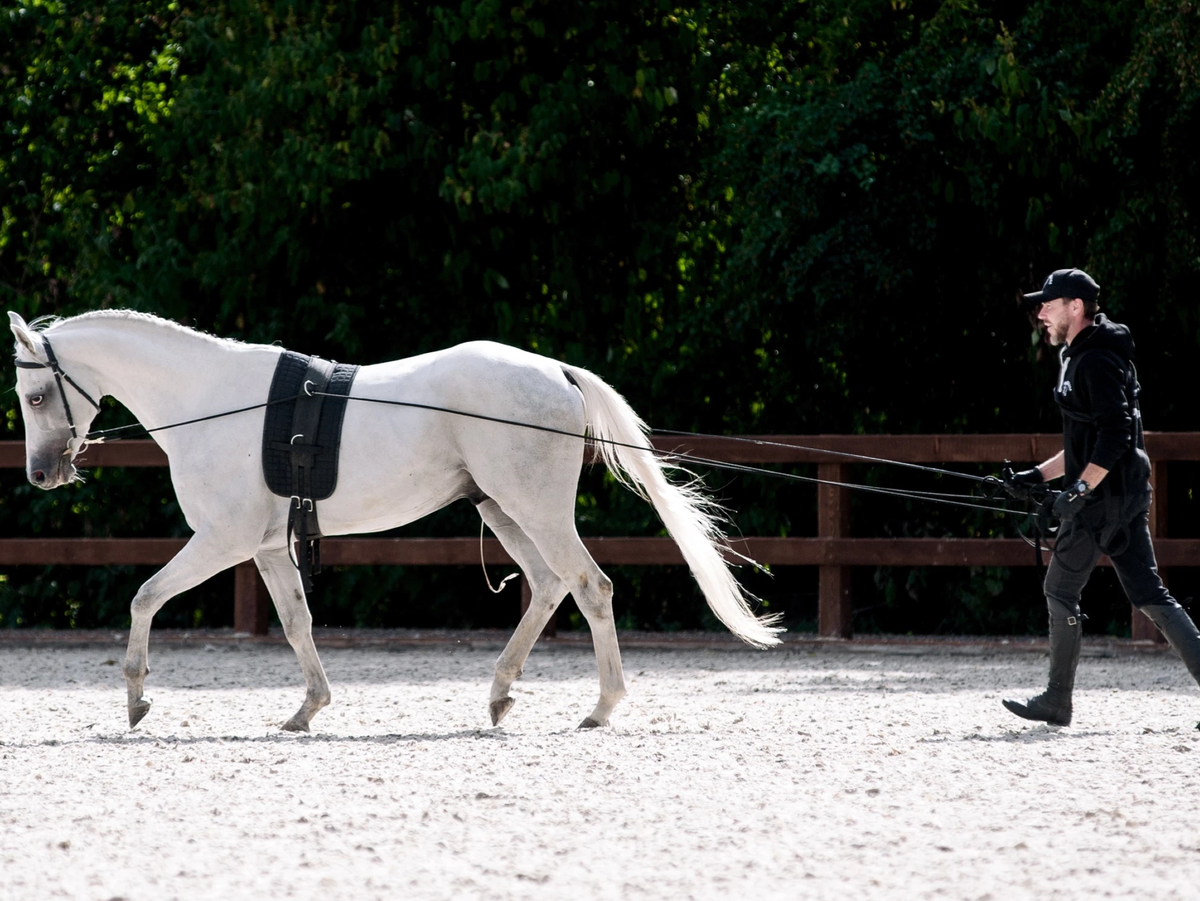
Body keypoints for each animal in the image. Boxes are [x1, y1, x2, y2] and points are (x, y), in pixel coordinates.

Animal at [14, 309, 782, 734]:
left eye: (36, 393)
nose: (42, 475)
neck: (209, 400)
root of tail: (556, 372)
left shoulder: (222, 541)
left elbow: (144, 595)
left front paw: (137, 699)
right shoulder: (264, 548)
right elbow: (296, 622)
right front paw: (308, 708)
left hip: (533, 506)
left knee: (590, 587)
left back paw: (599, 707)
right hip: (502, 508)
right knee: (547, 584)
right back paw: (500, 695)